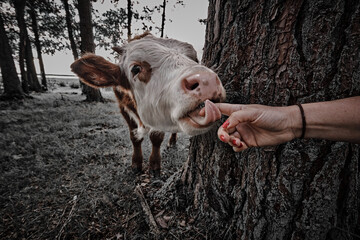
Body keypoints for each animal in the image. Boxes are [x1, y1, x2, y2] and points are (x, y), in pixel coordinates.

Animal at [70, 32, 225, 175]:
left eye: (195, 59)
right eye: (135, 68)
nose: (207, 80)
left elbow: (156, 137)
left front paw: (154, 165)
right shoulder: (123, 107)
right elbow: (134, 137)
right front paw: (136, 163)